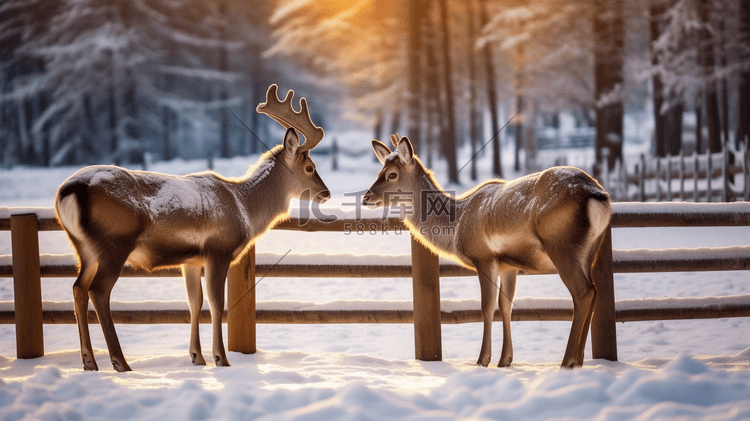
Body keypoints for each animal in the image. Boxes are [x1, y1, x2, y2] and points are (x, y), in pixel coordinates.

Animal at [55, 85, 332, 370]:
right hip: (114, 242)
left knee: (78, 288)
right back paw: (120, 361)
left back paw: (89, 361)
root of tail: (69, 191)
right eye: (310, 167)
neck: (244, 206)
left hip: (84, 248)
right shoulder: (218, 249)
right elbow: (217, 303)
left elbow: (194, 303)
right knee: (98, 291)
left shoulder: (191, 260)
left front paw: (197, 357)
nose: (326, 193)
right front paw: (221, 358)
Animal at [366, 135, 616, 368]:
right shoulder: (509, 266)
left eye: (392, 174)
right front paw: (505, 360)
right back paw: (579, 361)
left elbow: (486, 308)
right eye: (380, 170)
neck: (457, 226)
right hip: (590, 249)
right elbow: (506, 306)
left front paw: (482, 360)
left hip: (561, 246)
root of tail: (597, 195)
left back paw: (567, 361)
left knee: (583, 293)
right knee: (593, 291)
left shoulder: (483, 257)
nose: (367, 197)